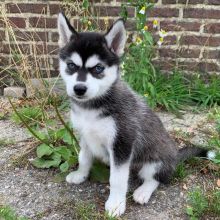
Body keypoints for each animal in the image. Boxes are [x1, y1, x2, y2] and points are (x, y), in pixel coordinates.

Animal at [57, 12, 214, 217]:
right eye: (71, 65)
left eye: (98, 68)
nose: (79, 89)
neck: (92, 107)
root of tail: (175, 156)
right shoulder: (84, 136)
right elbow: (83, 158)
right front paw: (80, 175)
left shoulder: (122, 143)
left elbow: (117, 179)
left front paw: (116, 204)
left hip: (154, 162)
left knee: (156, 178)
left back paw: (142, 192)